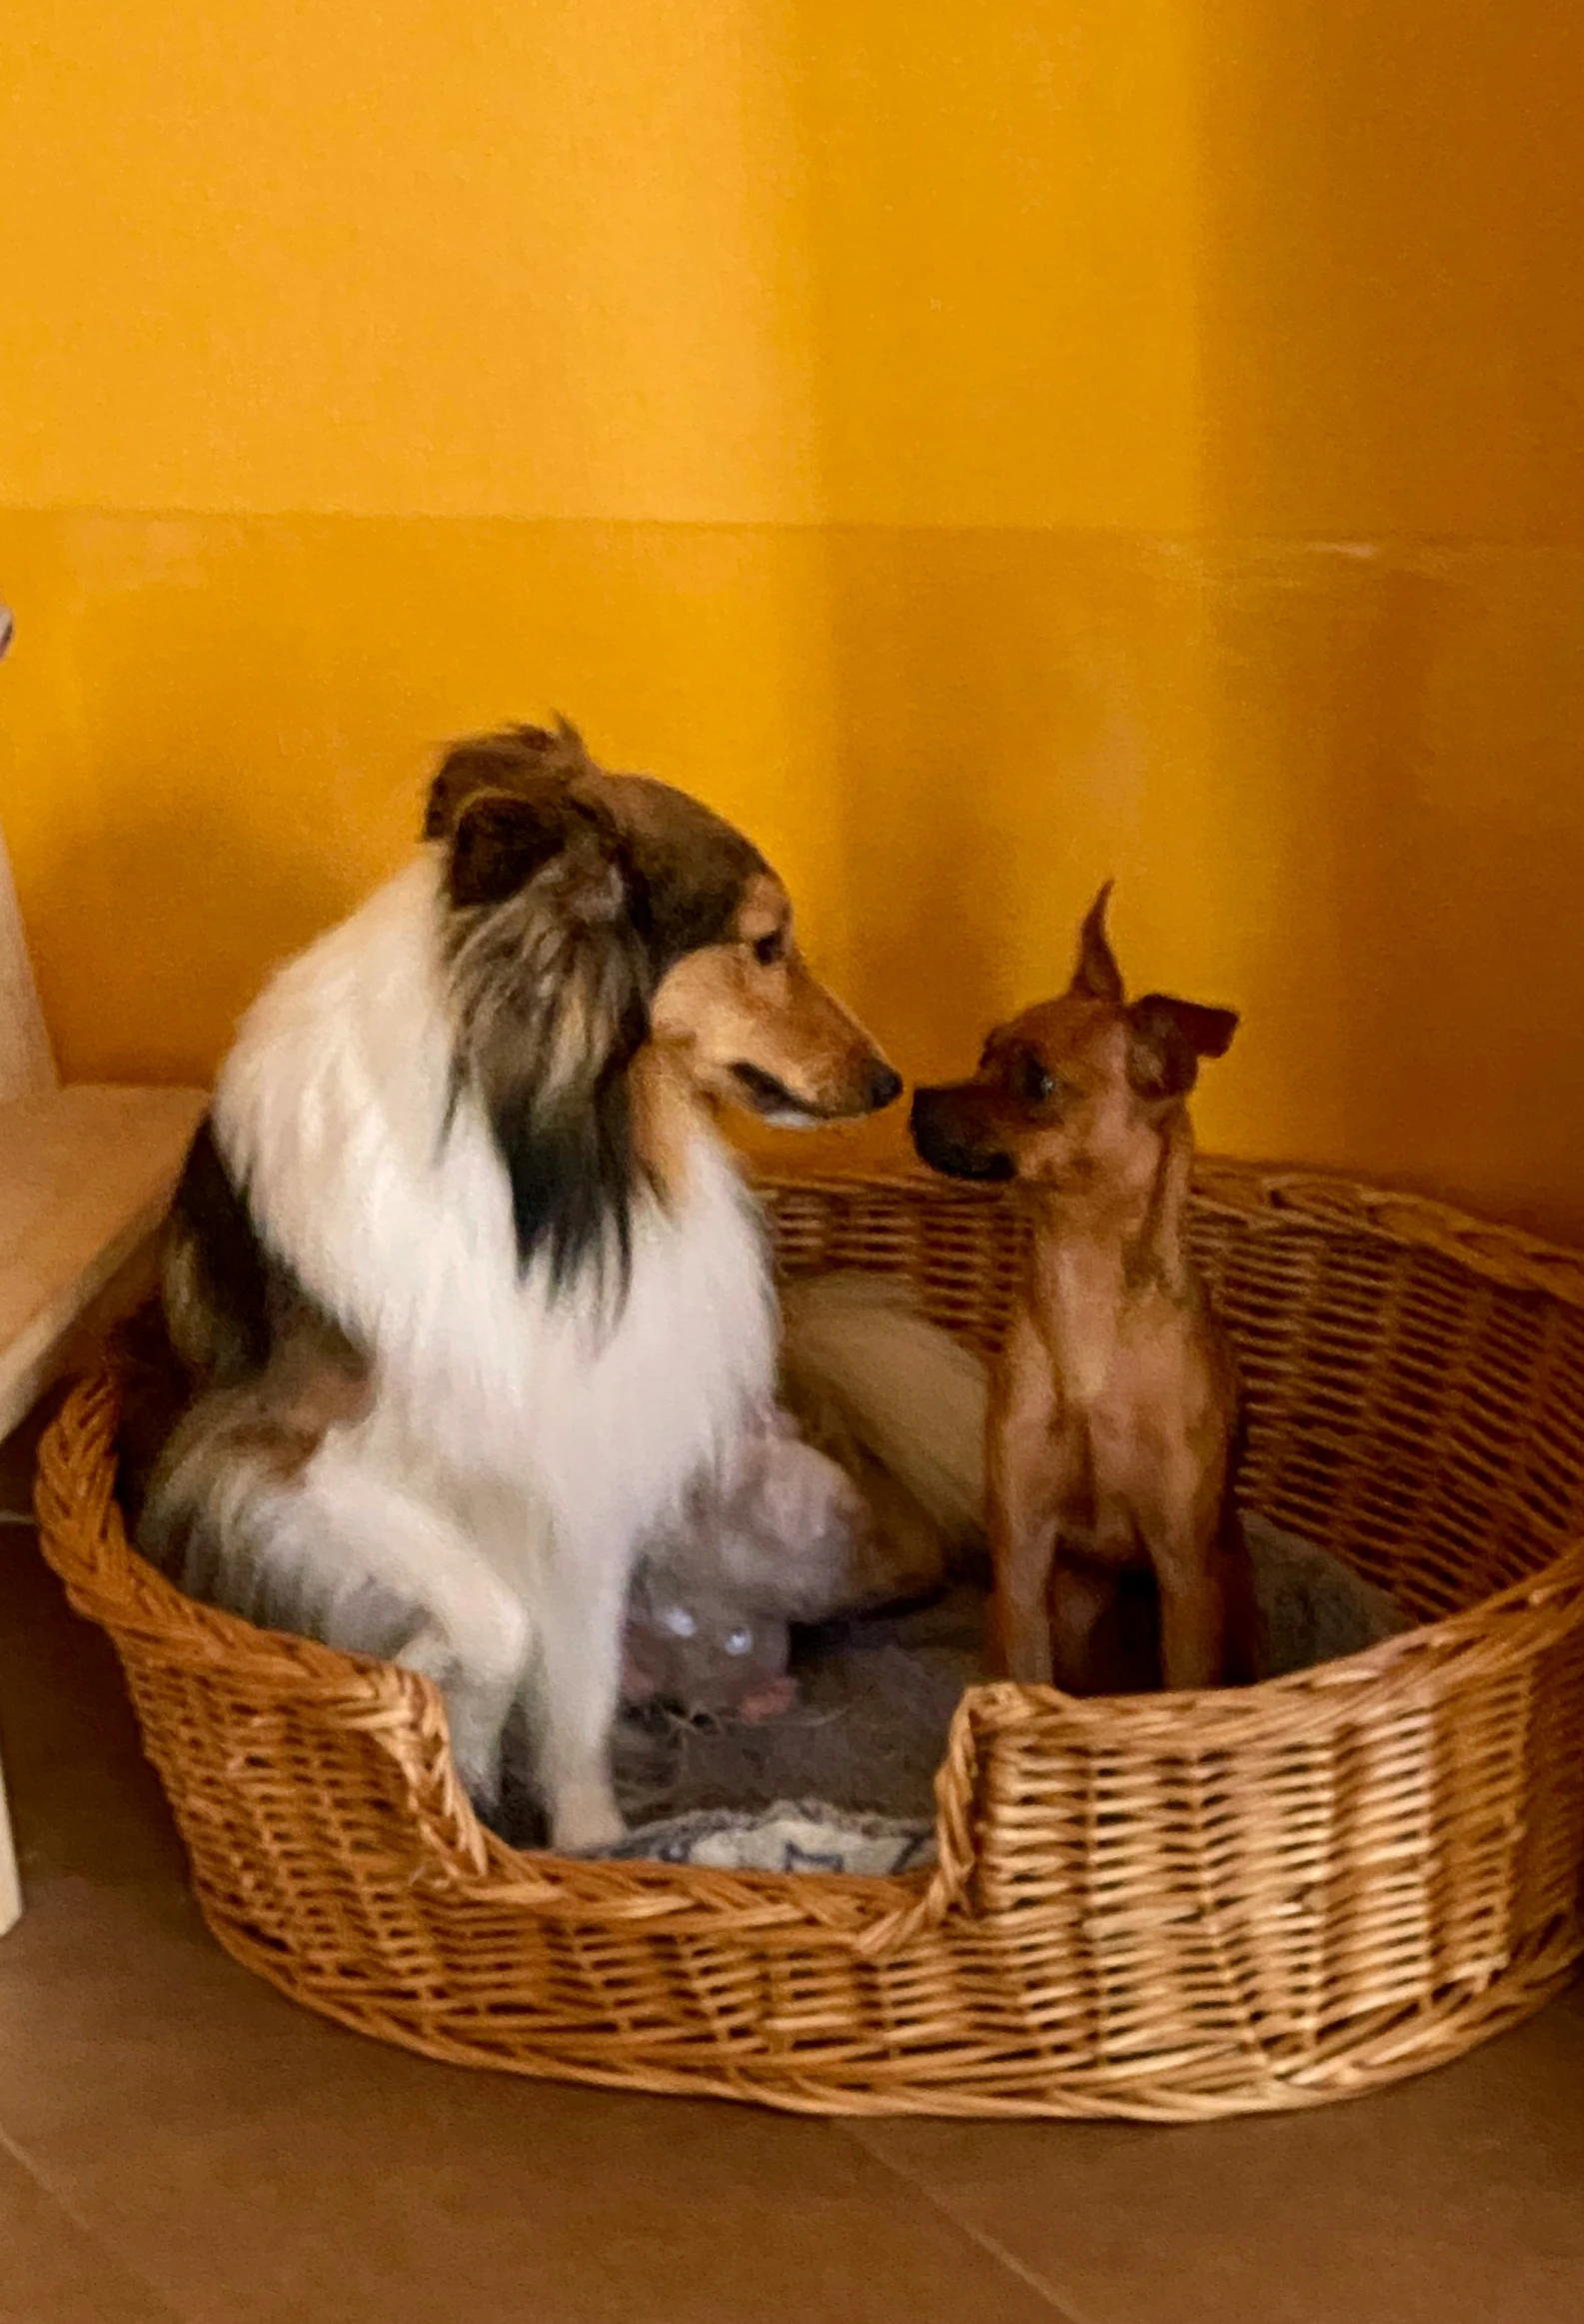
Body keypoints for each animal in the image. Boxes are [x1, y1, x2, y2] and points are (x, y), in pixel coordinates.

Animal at [138, 725, 900, 1849]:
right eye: (766, 944)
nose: (890, 1082)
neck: (538, 1166)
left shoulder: (580, 1466)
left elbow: (575, 1688)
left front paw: (588, 1846)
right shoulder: (281, 1456)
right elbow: (498, 1626)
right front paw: (440, 1715)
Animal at [905, 883, 1253, 1691]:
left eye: (1036, 1082)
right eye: (983, 1052)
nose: (915, 1100)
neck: (1084, 1289)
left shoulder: (1184, 1577)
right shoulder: (1024, 1559)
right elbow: (1029, 1677)